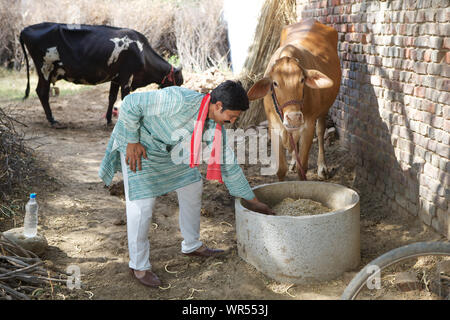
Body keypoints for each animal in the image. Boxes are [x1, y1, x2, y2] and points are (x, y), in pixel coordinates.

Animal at [20, 21, 183, 129]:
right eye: (179, 82)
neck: (142, 52)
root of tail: (26, 29)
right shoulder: (127, 77)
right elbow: (125, 99)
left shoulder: (116, 78)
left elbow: (111, 98)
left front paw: (109, 120)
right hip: (45, 69)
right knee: (42, 92)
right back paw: (52, 120)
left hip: (45, 71)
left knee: (40, 92)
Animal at [246, 18, 342, 181]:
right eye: (275, 83)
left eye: (302, 80)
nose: (294, 117)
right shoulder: (274, 127)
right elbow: (280, 169)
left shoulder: (308, 125)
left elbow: (302, 168)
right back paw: (292, 160)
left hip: (324, 110)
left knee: (320, 132)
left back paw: (322, 167)